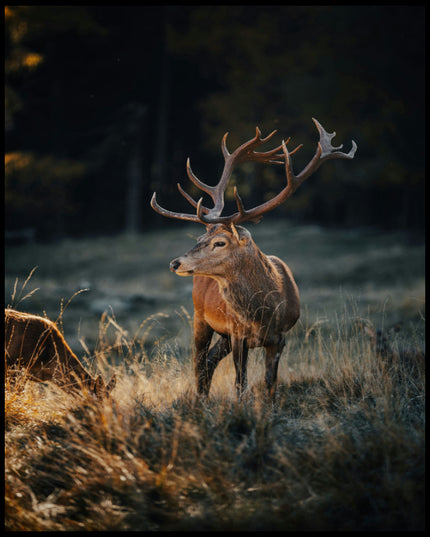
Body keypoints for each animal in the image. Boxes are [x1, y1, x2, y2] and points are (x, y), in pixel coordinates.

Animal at [150, 117, 356, 396]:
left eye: (220, 242)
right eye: (199, 238)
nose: (175, 262)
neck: (264, 314)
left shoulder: (280, 337)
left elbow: (270, 383)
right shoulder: (238, 334)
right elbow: (240, 384)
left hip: (221, 333)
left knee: (209, 362)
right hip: (200, 317)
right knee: (198, 364)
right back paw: (200, 399)